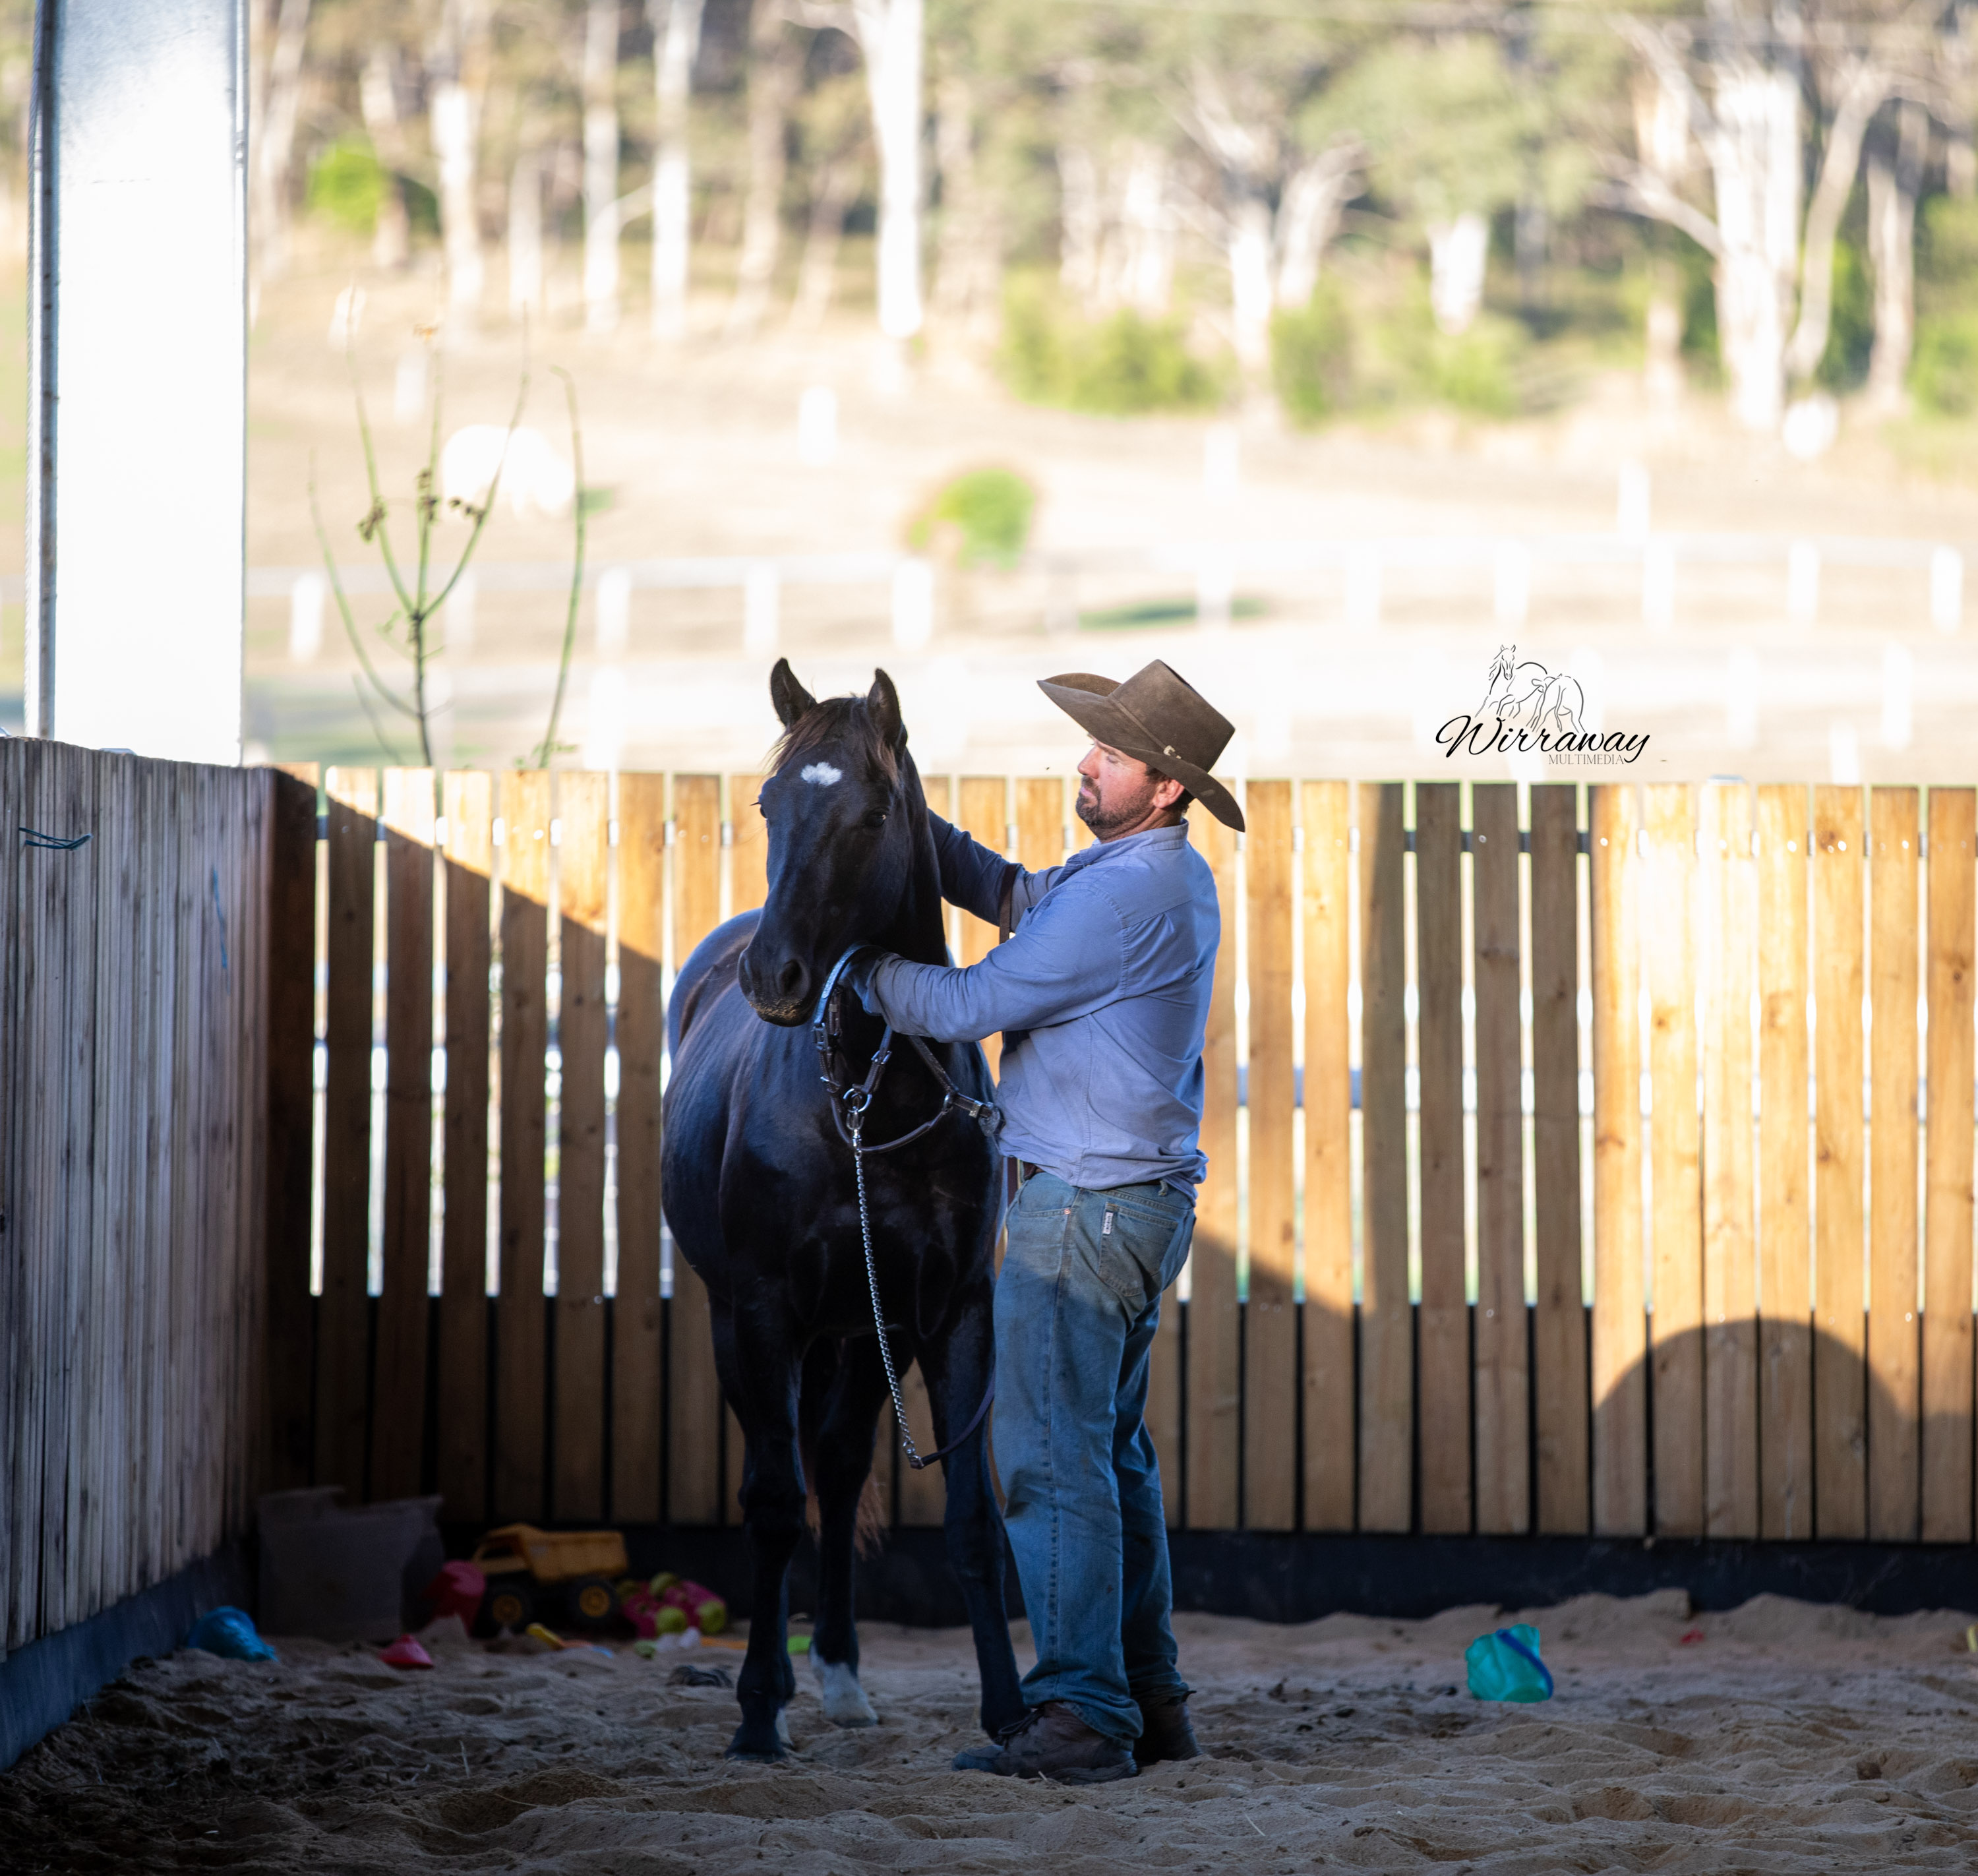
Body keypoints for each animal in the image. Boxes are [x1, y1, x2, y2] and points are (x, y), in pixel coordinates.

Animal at [659, 660, 1025, 1762]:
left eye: (871, 813)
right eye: (768, 804)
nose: (774, 976)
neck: (873, 1099)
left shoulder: (952, 1316)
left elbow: (971, 1521)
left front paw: (1010, 1714)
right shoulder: (764, 1312)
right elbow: (774, 1506)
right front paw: (753, 1714)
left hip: (866, 1335)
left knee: (836, 1459)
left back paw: (842, 1675)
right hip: (755, 1327)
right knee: (786, 1480)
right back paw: (786, 1685)